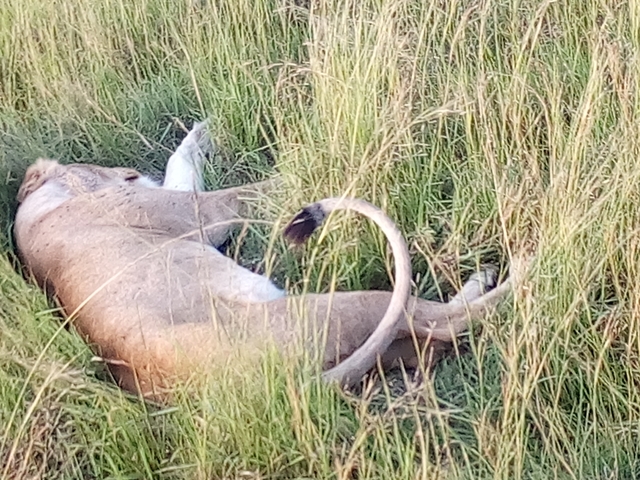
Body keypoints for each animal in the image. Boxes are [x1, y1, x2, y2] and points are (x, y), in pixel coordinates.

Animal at [14, 121, 510, 398]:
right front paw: (307, 161)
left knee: (436, 332)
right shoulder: (201, 212)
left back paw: (484, 279)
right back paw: (516, 274)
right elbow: (248, 190)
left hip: (388, 345)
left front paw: (202, 128)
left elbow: (179, 161)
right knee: (444, 320)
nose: (128, 171)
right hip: (340, 307)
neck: (37, 217)